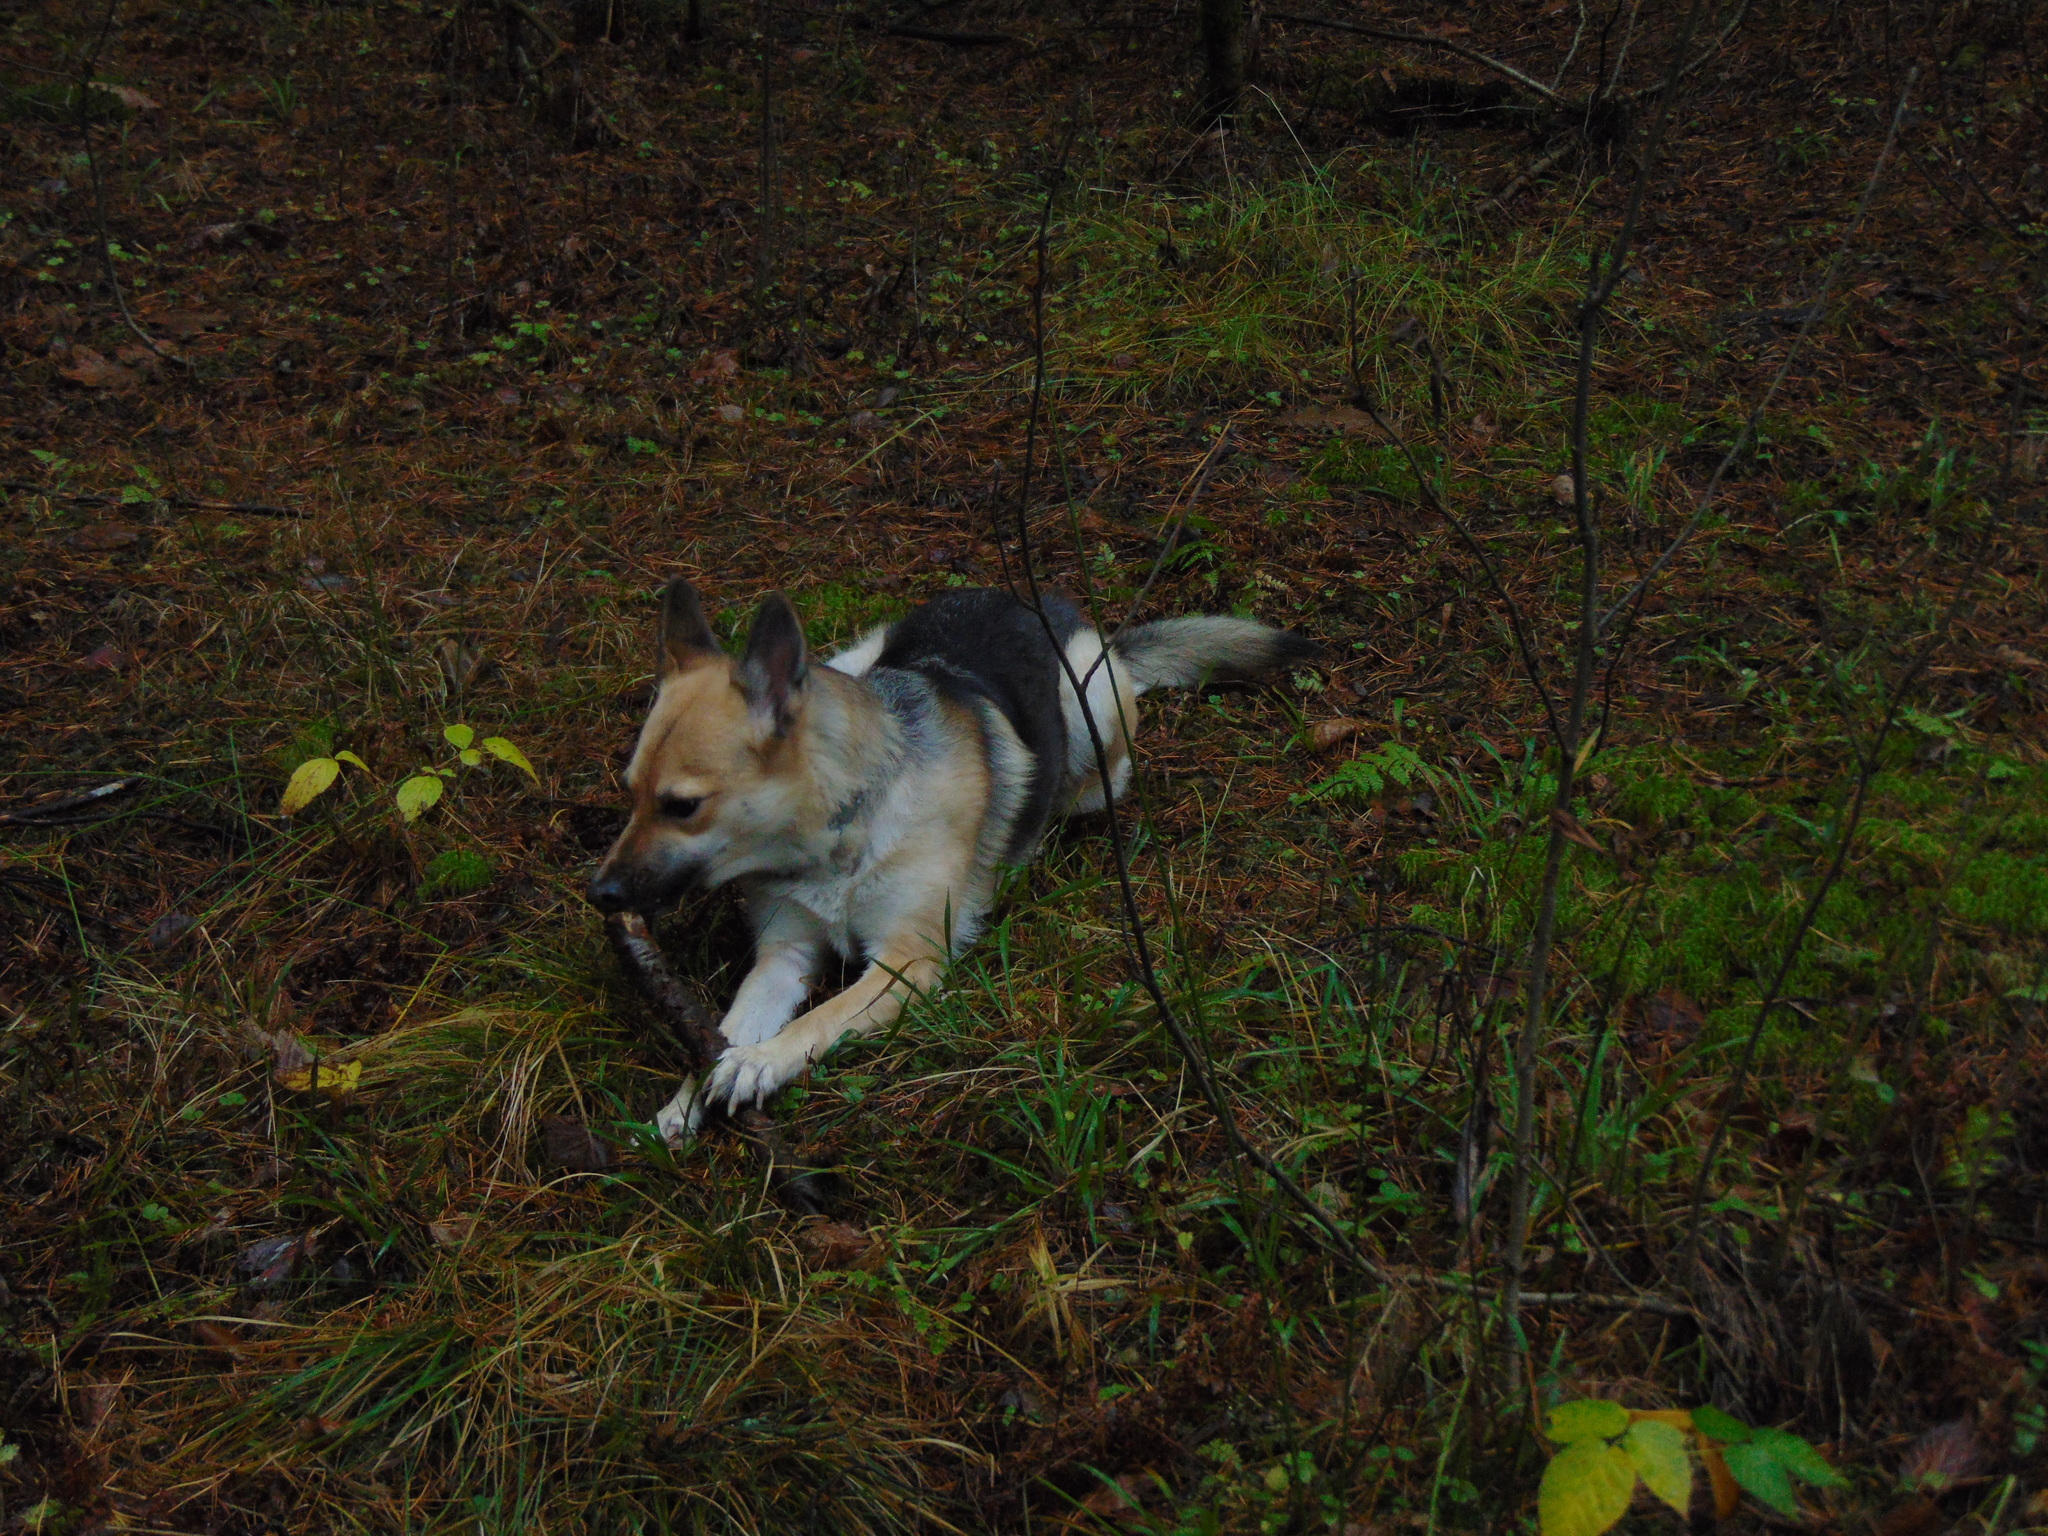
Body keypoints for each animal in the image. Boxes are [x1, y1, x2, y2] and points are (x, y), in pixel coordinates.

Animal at [585, 581, 1310, 1146]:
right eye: (631, 793)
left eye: (682, 806)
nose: (599, 894)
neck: (842, 830)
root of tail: (1033, 603)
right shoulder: (783, 959)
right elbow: (720, 1029)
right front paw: (690, 1096)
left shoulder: (908, 964)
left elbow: (820, 1018)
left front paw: (759, 1063)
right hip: (857, 654)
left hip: (1092, 707)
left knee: (1092, 782)